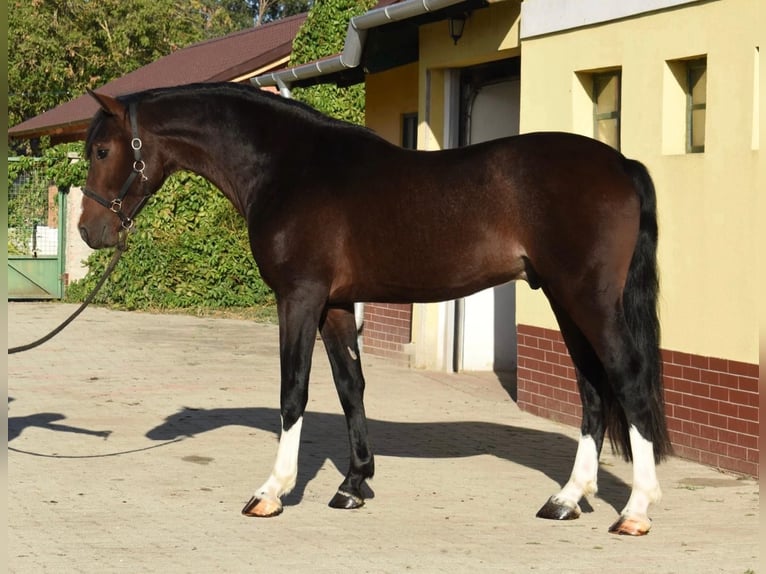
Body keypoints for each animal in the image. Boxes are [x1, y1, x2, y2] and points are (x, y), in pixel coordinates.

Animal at [79, 82, 670, 536]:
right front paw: (353, 484)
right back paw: (567, 499)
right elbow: (350, 388)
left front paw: (272, 491)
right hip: (564, 301)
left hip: (588, 299)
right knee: (593, 392)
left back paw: (636, 510)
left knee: (628, 380)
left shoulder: (299, 297)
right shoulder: (337, 304)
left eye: (102, 151)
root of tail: (622, 164)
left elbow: (293, 390)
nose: (90, 231)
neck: (288, 166)